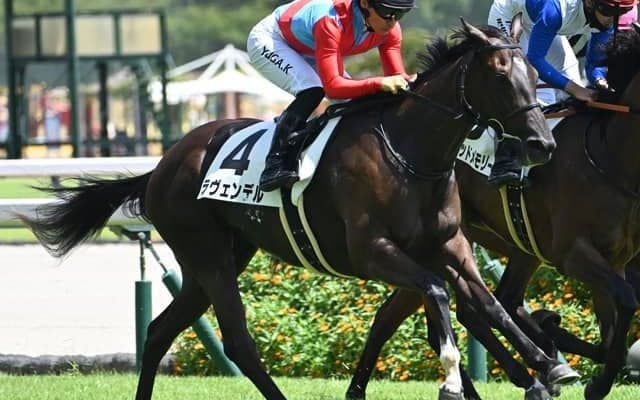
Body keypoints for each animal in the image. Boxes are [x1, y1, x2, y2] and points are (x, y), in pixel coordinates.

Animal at [18, 19, 573, 400]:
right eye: (499, 74)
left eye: (533, 71)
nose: (542, 143)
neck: (412, 154)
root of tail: (161, 165)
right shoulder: (374, 252)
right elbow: (439, 294)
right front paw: (456, 379)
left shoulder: (450, 246)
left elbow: (490, 305)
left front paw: (548, 367)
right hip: (209, 256)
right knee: (238, 341)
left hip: (213, 259)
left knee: (159, 331)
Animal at [346, 26, 640, 400]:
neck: (611, 156)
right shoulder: (574, 254)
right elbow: (627, 302)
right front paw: (591, 379)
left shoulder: (615, 259)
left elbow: (614, 328)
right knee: (464, 310)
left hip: (494, 249)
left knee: (435, 312)